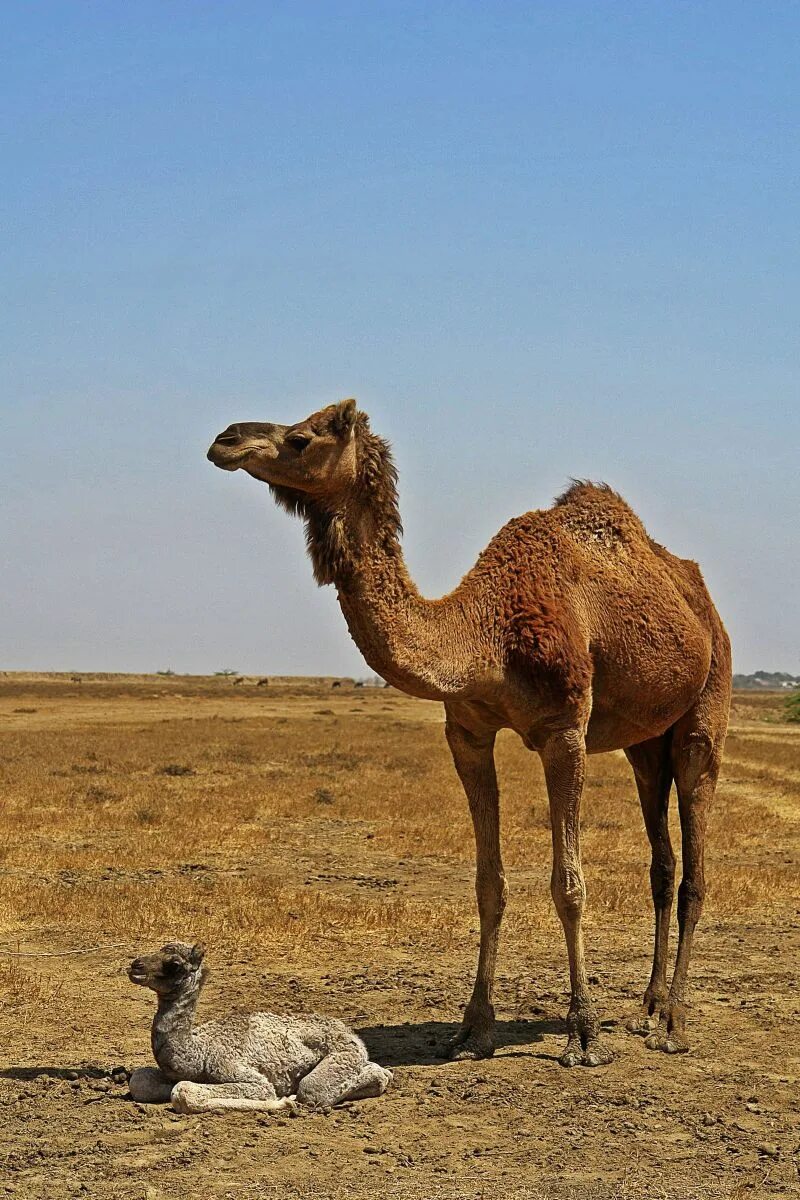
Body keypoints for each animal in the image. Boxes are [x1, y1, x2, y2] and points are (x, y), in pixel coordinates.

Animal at [206, 398, 734, 1065]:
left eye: (300, 438)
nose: (226, 439)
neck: (486, 634)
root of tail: (701, 601)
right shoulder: (468, 732)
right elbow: (489, 883)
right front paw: (472, 1027)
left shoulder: (565, 729)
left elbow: (569, 886)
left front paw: (583, 1032)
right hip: (645, 742)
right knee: (661, 862)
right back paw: (647, 1007)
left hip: (706, 708)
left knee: (694, 860)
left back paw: (674, 1024)